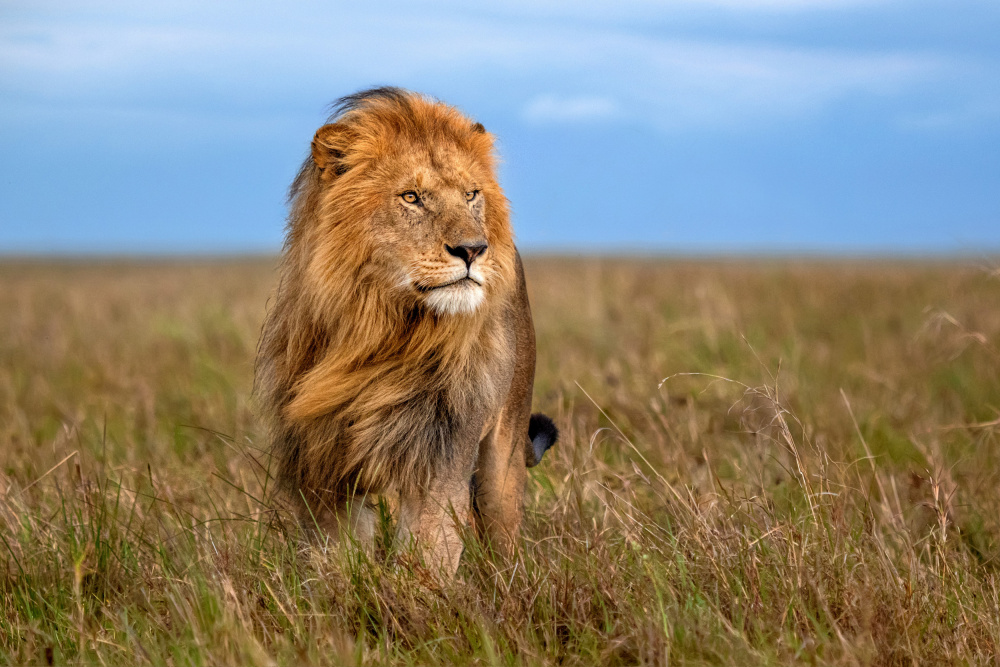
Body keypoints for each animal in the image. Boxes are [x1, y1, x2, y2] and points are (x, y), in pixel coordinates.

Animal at [254, 86, 560, 576]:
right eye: (412, 197)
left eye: (471, 194)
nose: (473, 249)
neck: (384, 332)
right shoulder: (325, 466)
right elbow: (335, 561)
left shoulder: (441, 457)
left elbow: (425, 559)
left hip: (505, 452)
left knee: (502, 534)